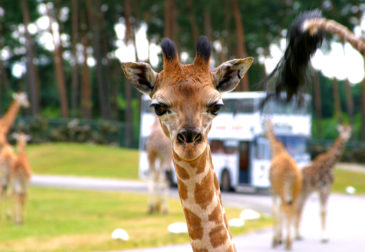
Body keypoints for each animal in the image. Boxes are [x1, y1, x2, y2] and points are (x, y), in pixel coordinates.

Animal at [264, 120, 302, 250]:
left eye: (263, 125)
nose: (263, 135)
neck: (277, 150)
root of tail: (292, 175)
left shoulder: (273, 190)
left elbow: (275, 210)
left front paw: (275, 240)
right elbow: (280, 210)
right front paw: (279, 238)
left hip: (283, 190)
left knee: (286, 209)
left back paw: (287, 243)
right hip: (295, 191)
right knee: (292, 209)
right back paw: (288, 242)